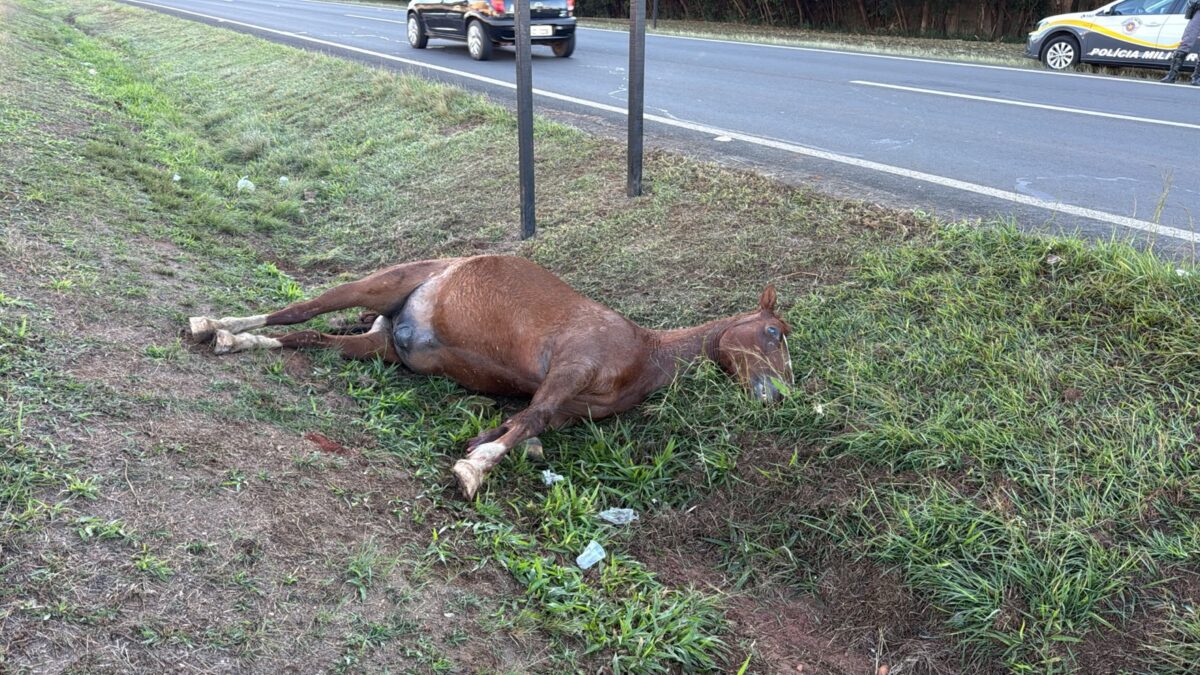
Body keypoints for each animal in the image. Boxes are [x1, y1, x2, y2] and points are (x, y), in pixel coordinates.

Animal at [189, 255, 793, 499]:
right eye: (775, 332)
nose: (779, 397)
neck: (642, 351)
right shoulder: (570, 369)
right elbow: (531, 419)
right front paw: (474, 470)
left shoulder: (567, 404)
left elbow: (525, 424)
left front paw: (482, 446)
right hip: (376, 286)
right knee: (299, 311)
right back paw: (215, 325)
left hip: (377, 348)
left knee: (309, 339)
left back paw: (235, 339)